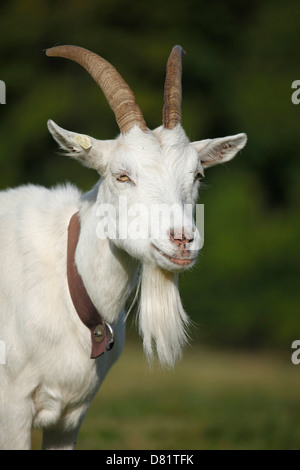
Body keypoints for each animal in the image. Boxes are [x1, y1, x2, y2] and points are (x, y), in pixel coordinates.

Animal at [0, 46, 246, 450]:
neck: (68, 284)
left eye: (197, 175)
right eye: (122, 175)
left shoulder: (70, 417)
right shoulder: (12, 409)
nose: (182, 239)